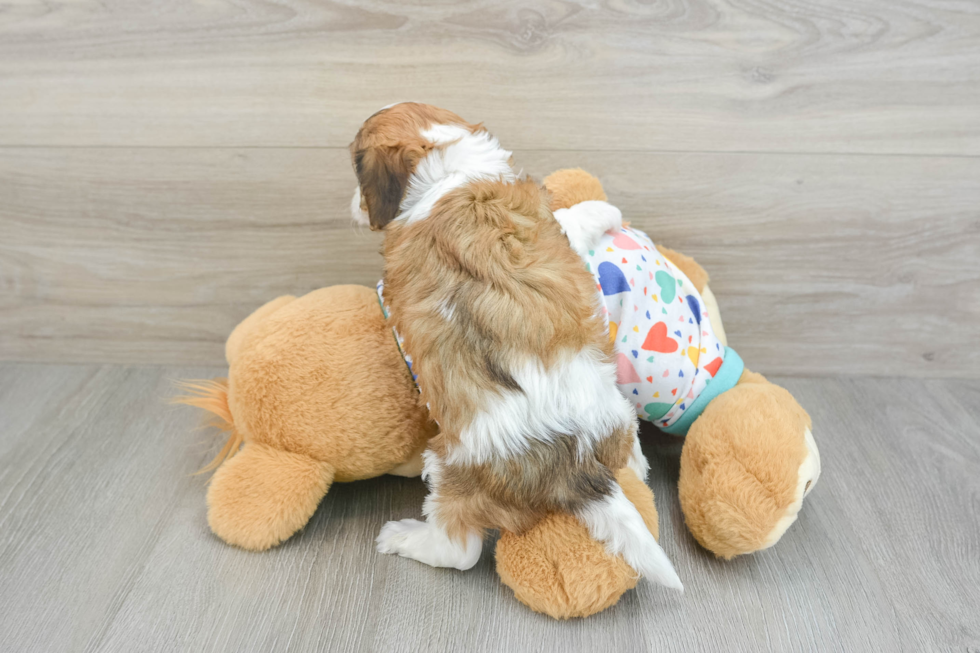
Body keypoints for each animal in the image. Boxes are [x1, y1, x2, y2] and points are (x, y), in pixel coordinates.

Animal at [350, 103, 680, 592]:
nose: (352, 205)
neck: (450, 170)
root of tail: (573, 464)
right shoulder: (550, 230)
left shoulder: (554, 226)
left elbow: (574, 216)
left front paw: (603, 207)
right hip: (612, 411)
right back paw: (638, 463)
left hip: (451, 465)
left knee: (460, 550)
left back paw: (401, 536)